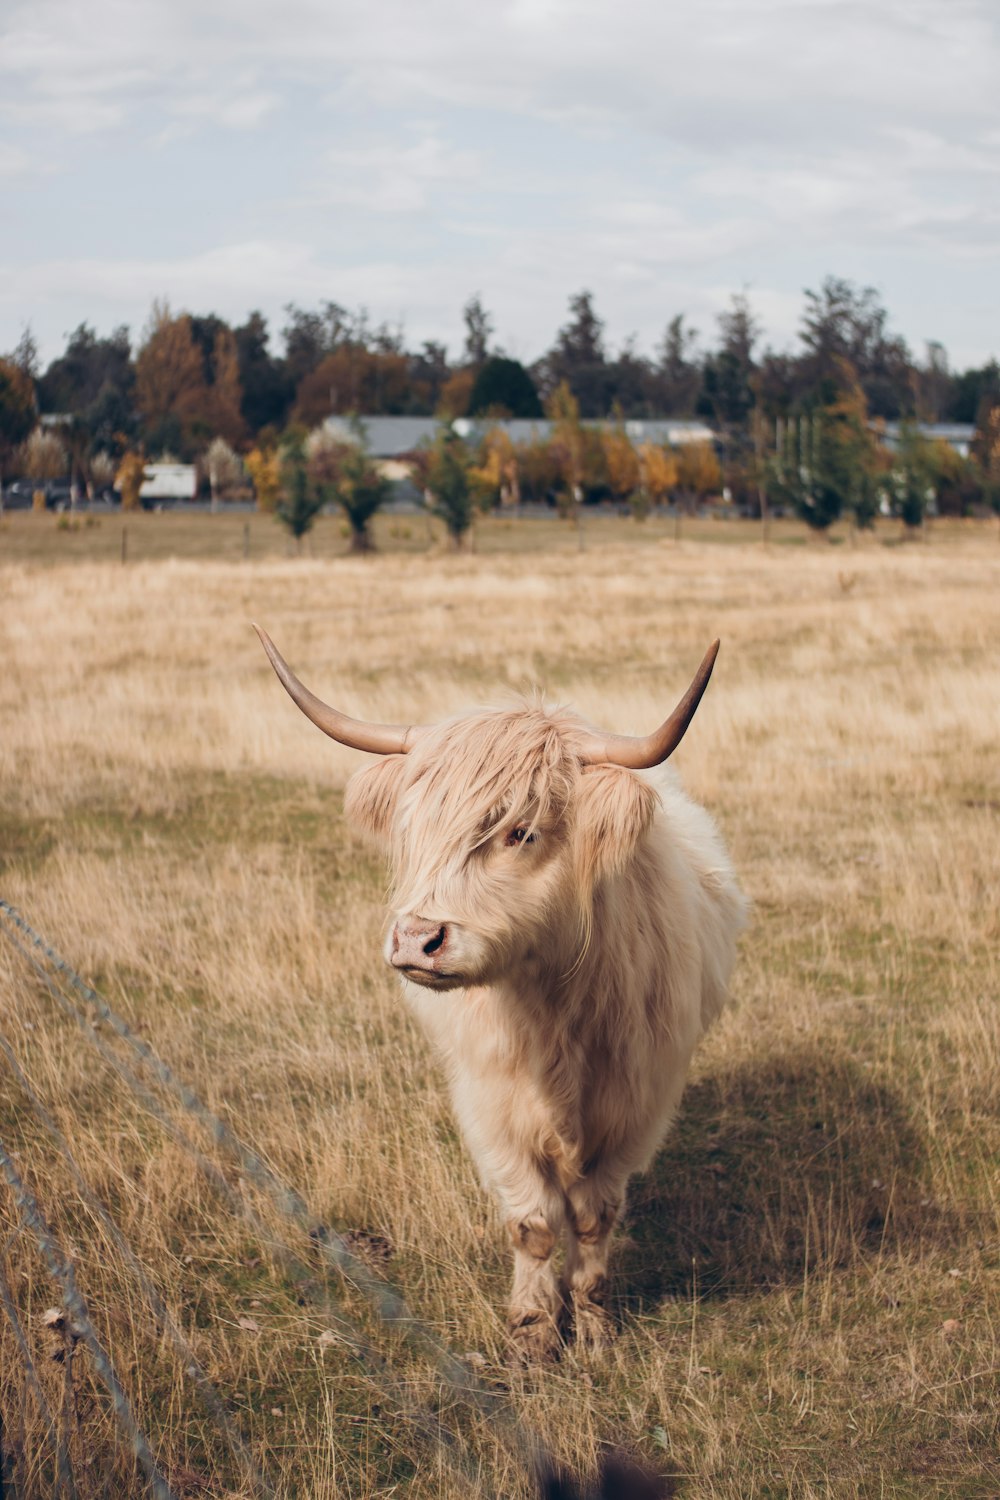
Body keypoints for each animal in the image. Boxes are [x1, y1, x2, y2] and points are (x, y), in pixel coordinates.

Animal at [254, 627, 746, 1368]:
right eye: (415, 833)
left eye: (521, 831)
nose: (417, 939)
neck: (554, 1010)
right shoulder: (491, 1105)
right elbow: (533, 1222)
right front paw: (534, 1336)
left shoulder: (637, 1104)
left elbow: (594, 1215)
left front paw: (594, 1327)